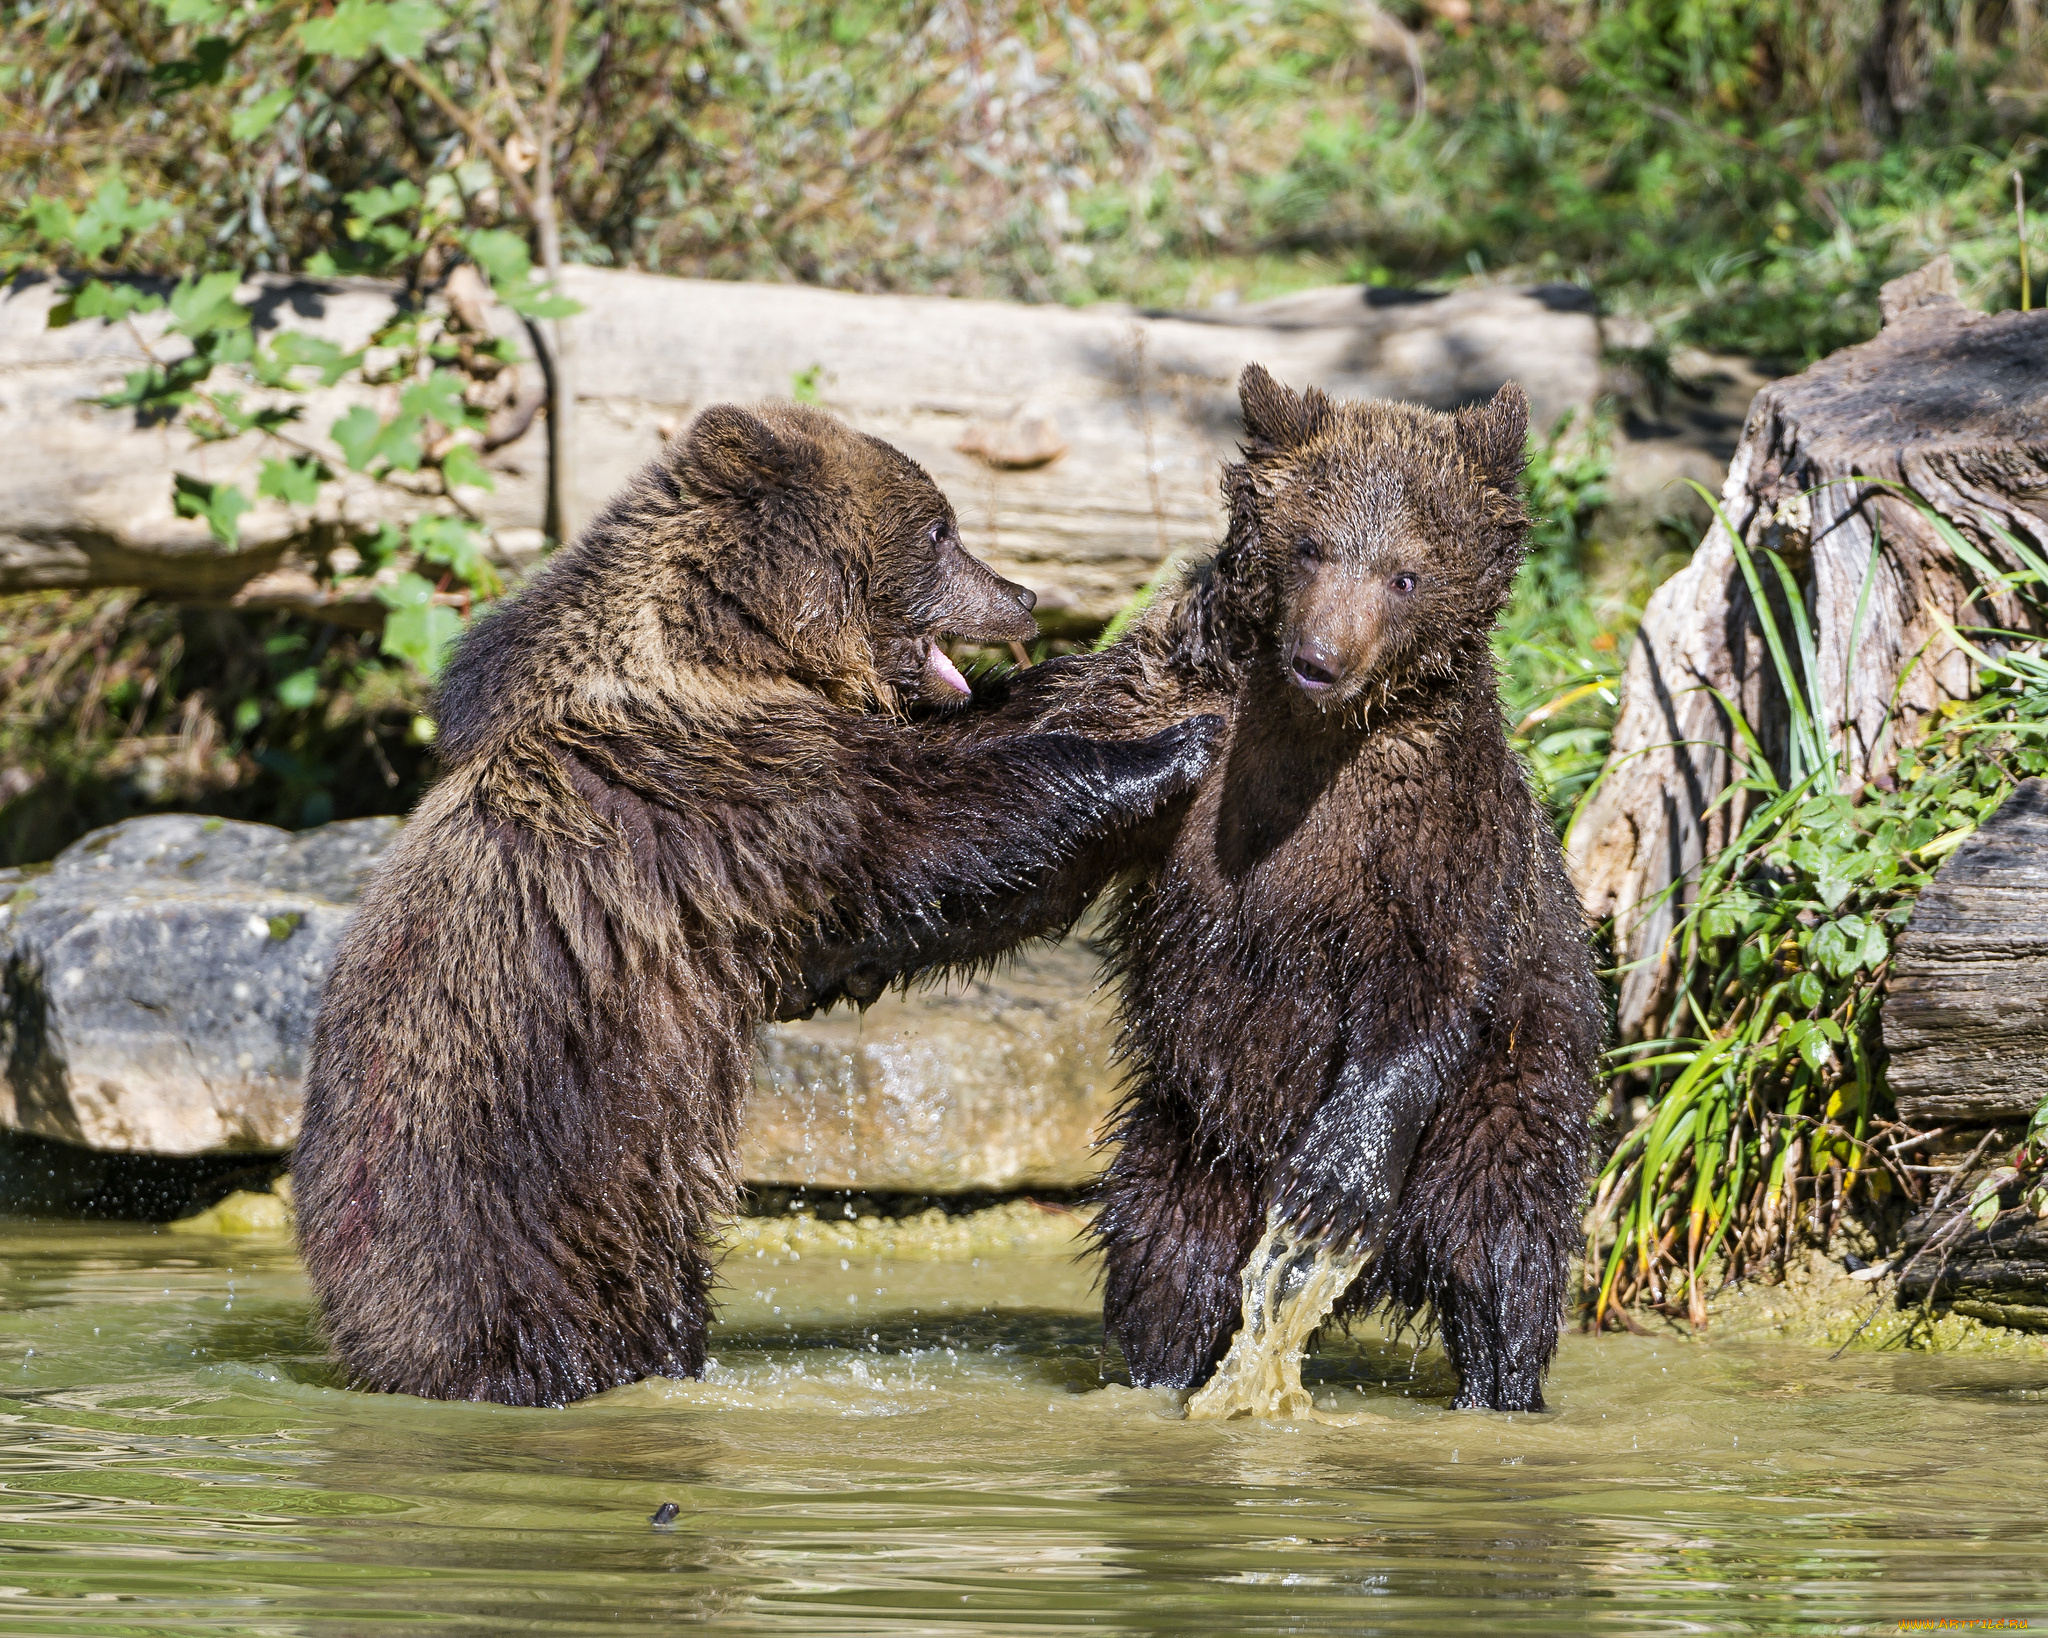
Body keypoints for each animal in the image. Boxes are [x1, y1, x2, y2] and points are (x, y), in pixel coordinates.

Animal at [288, 399, 1212, 1408]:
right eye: (942, 530)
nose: (1024, 594)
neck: (733, 652)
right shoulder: (724, 790)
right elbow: (933, 836)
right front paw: (1172, 749)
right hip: (510, 1211)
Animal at [806, 368, 1605, 1408]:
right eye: (1310, 545)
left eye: (1406, 574)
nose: (1321, 658)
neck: (1312, 733)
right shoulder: (1165, 712)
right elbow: (1031, 853)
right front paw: (842, 951)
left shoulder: (1436, 814)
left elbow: (1427, 972)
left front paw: (1334, 1184)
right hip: (1195, 1139)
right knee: (1166, 1258)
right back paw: (1157, 1375)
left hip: (1505, 1088)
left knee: (1502, 1251)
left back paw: (1496, 1385)